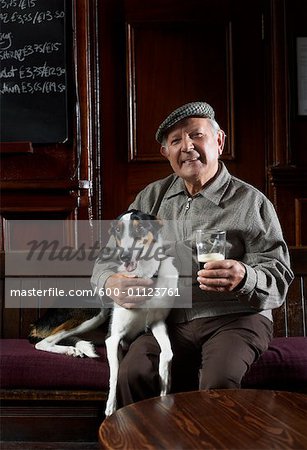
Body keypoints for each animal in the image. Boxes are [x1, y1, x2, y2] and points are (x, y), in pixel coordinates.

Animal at [29, 209, 178, 416]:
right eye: (118, 231)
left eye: (141, 228)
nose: (124, 256)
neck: (144, 276)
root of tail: (39, 320)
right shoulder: (113, 338)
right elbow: (115, 375)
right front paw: (111, 408)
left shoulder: (158, 323)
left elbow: (168, 353)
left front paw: (164, 389)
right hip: (94, 312)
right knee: (43, 343)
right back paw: (69, 349)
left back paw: (76, 348)